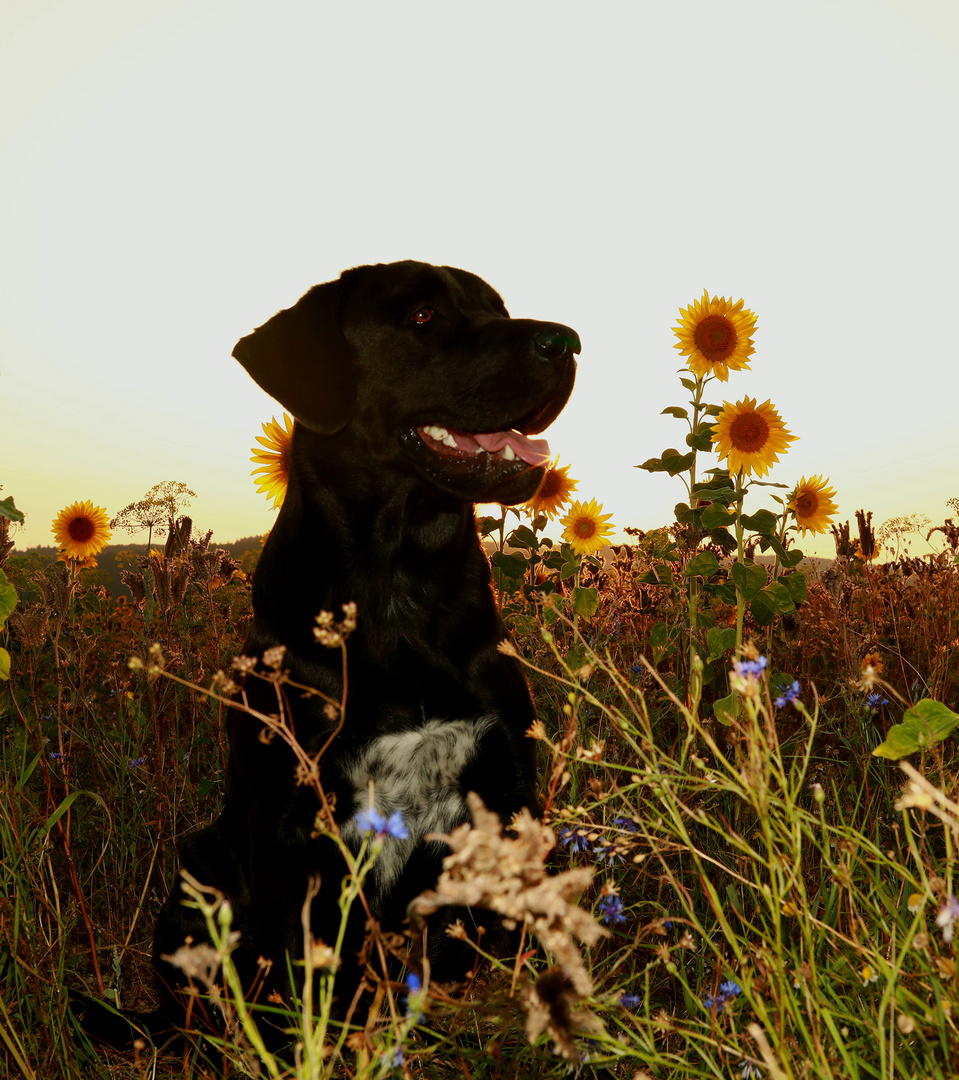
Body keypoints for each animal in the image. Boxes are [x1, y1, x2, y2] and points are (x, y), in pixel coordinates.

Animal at [76, 257, 578, 1041]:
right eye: (423, 316)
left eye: (498, 307)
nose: (568, 342)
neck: (399, 585)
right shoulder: (288, 824)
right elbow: (292, 971)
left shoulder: (507, 789)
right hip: (200, 862)